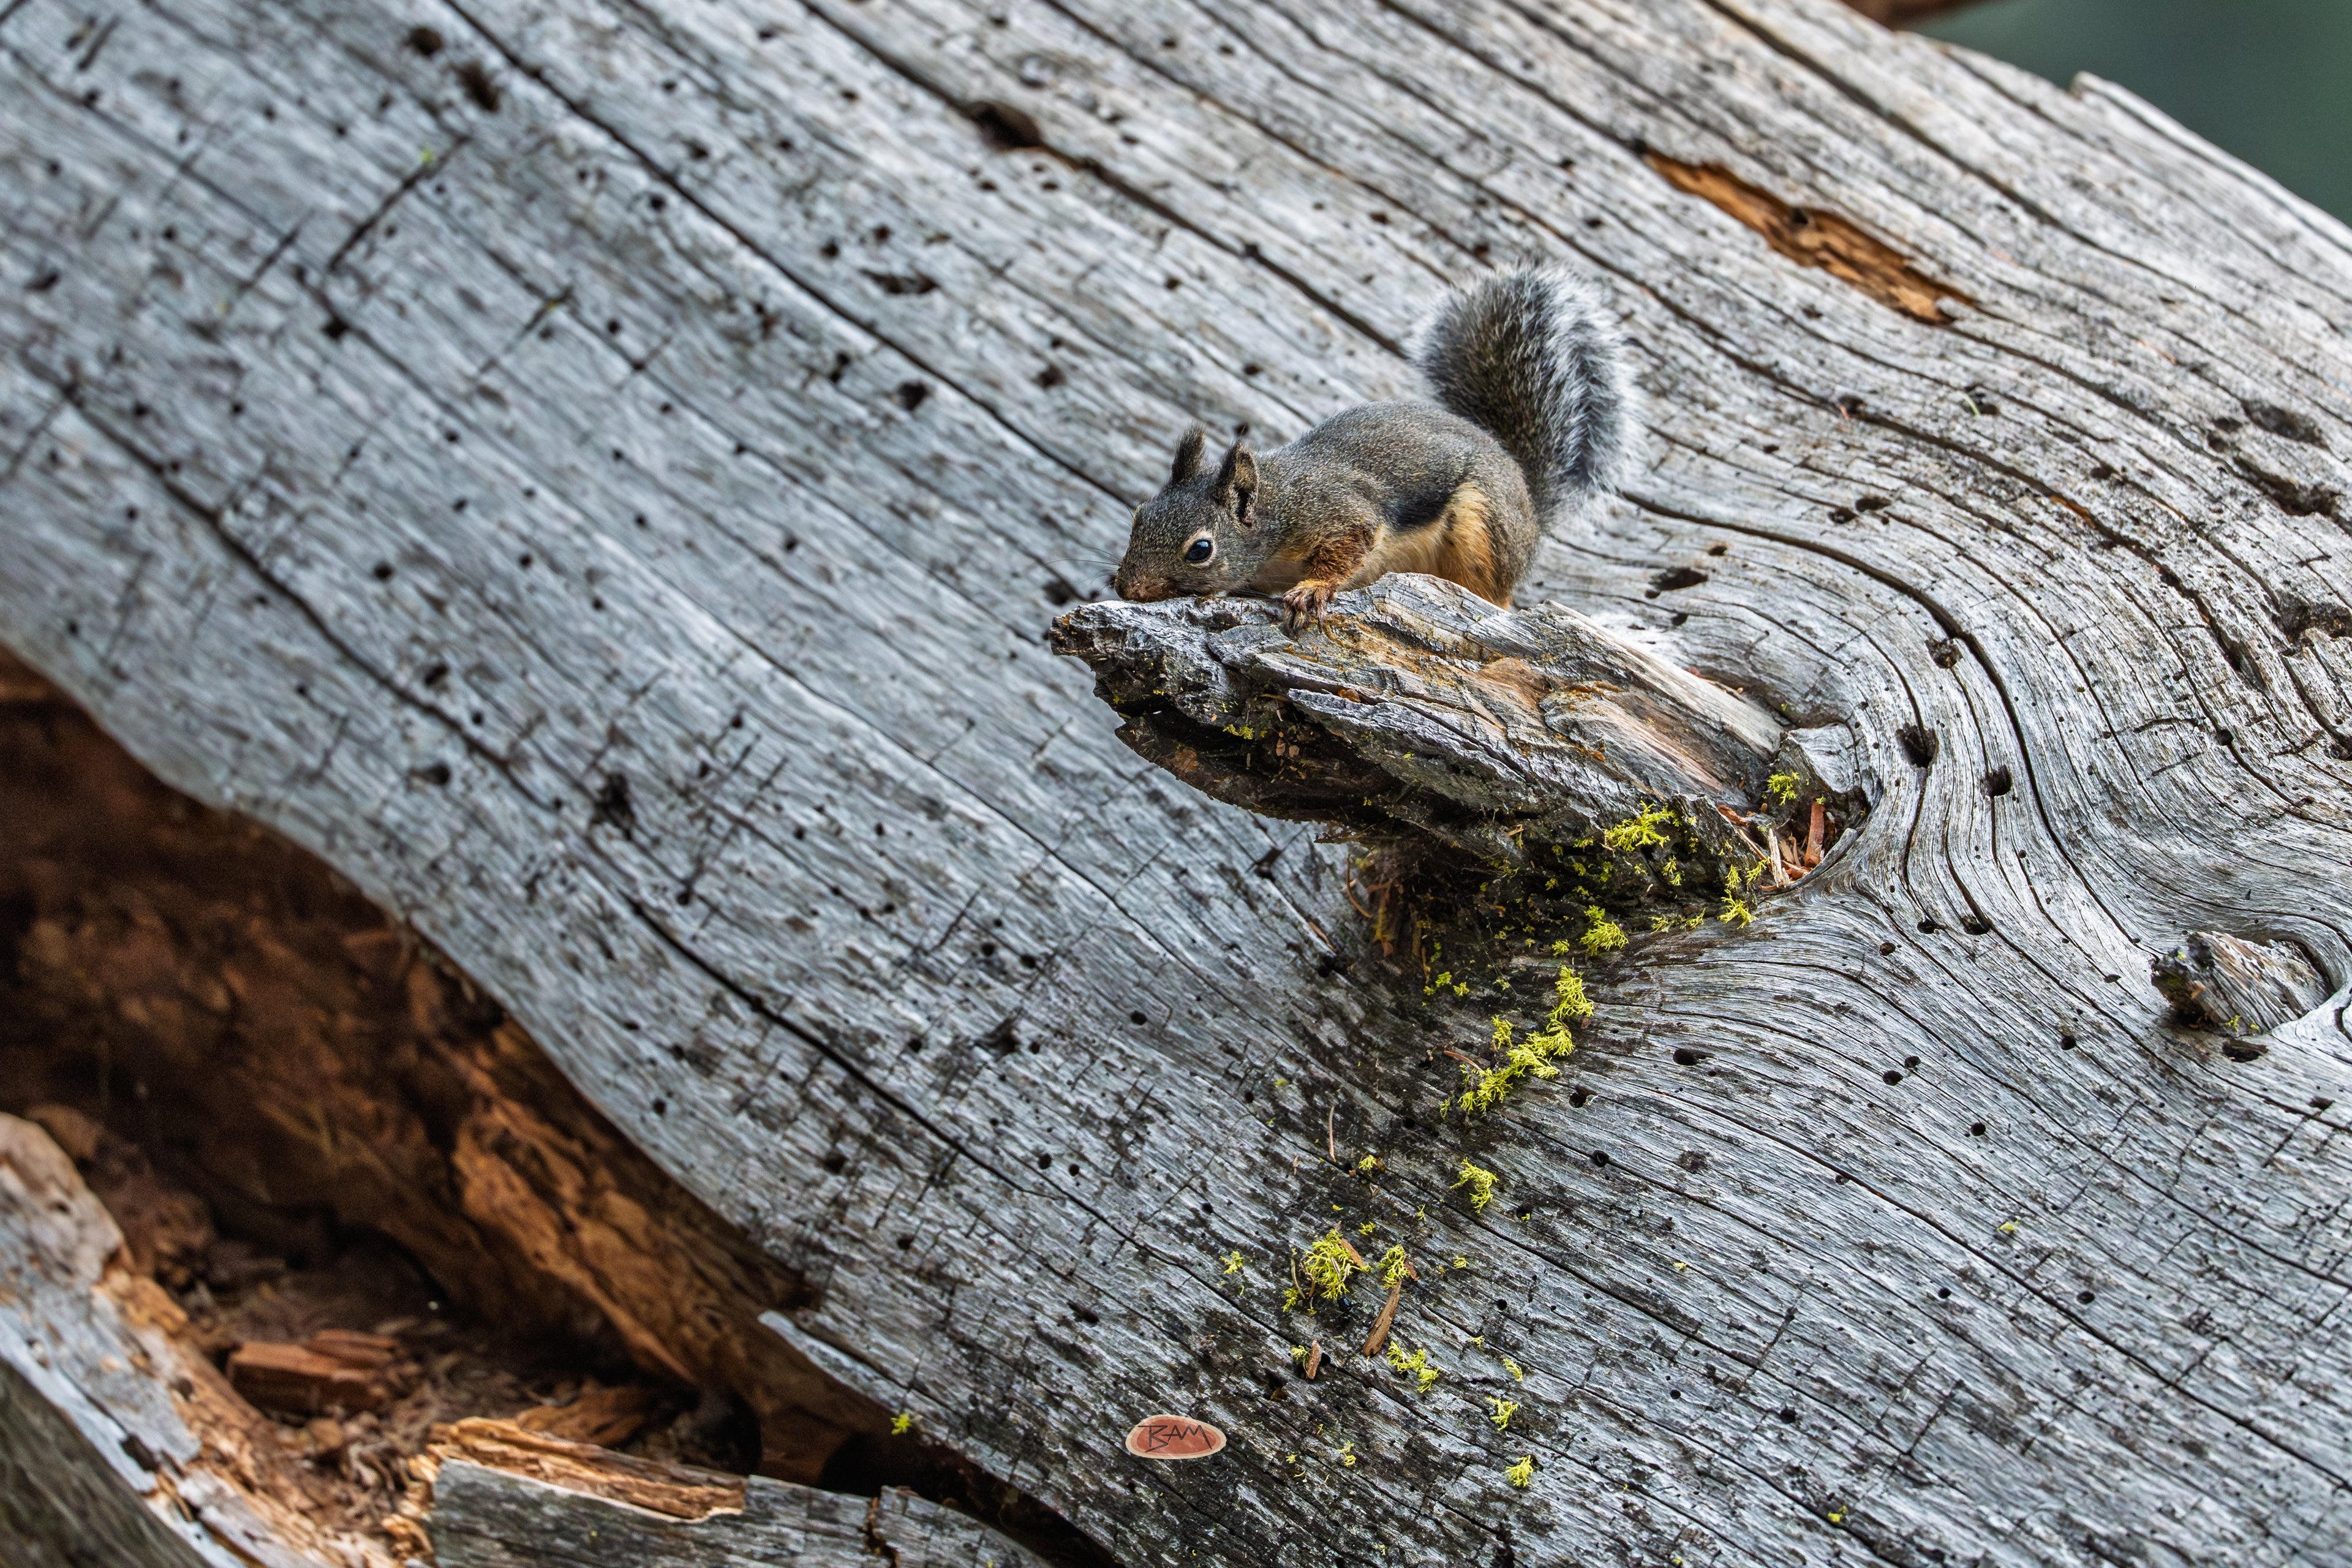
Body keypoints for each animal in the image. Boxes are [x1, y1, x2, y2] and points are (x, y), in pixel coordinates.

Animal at [1112, 266, 1637, 628]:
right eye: (1139, 516)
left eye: (1200, 550)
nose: (1126, 588)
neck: (1275, 510)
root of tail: (1526, 500)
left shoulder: (1339, 514)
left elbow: (1348, 549)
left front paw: (1312, 592)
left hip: (1482, 532)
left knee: (1496, 597)